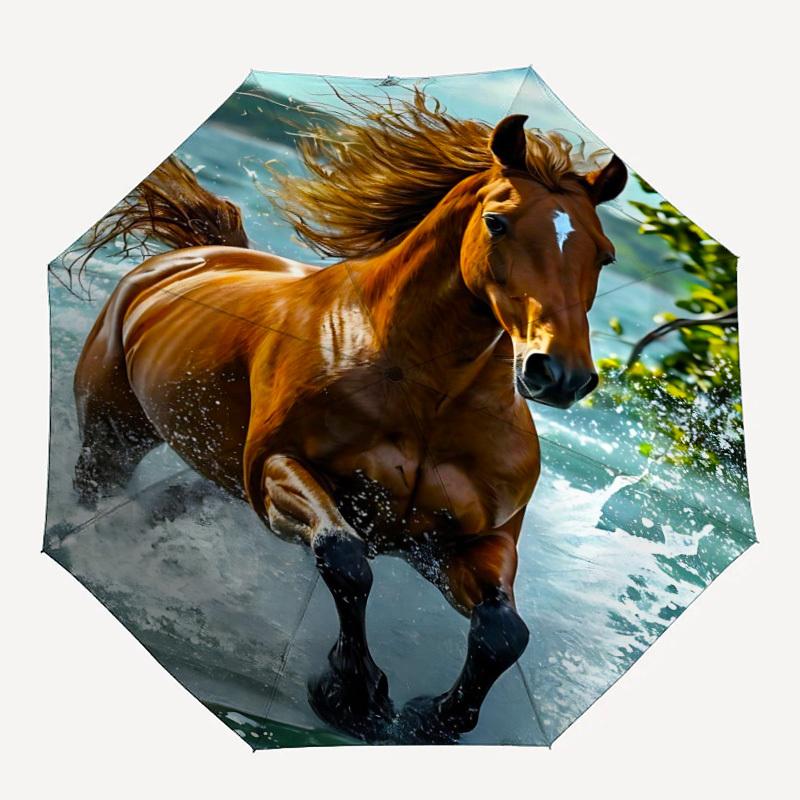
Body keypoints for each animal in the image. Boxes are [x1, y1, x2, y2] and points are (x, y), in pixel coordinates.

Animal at [72, 95, 626, 743]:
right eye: (498, 222)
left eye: (604, 252)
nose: (559, 373)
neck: (429, 396)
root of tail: (190, 257)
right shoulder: (278, 471)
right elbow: (346, 560)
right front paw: (354, 697)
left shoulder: (471, 541)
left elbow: (504, 633)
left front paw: (431, 719)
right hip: (115, 433)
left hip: (215, 477)